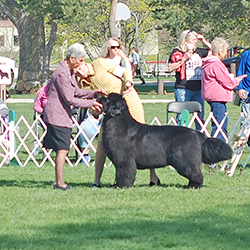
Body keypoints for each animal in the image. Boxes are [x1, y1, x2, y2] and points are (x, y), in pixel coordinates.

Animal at [97, 93, 232, 188]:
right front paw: (116, 185)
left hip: (184, 161)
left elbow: (124, 173)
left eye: (107, 99)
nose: (98, 96)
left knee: (196, 174)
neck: (118, 121)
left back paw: (192, 186)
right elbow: (118, 173)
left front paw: (122, 186)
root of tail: (197, 134)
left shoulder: (124, 161)